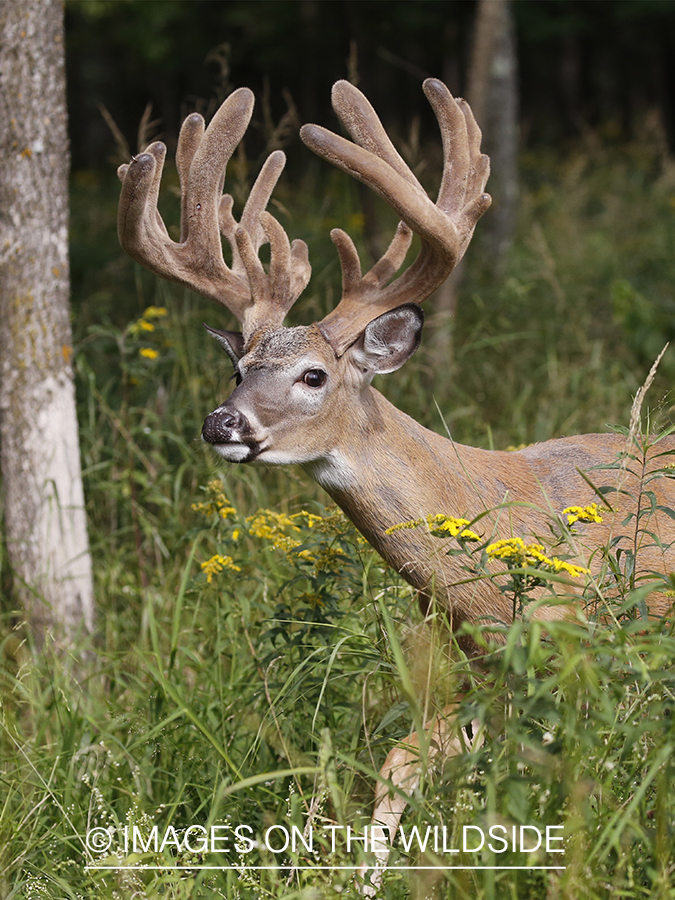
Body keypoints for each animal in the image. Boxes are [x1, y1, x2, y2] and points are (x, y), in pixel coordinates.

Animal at [117, 79, 675, 892]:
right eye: (238, 368)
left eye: (312, 375)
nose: (220, 422)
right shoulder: (475, 663)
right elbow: (400, 763)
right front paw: (367, 878)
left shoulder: (586, 649)